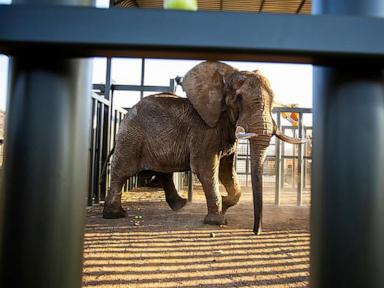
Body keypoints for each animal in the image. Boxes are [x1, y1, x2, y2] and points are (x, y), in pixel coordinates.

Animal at [101, 60, 304, 234]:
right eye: (238, 99)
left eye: (274, 101)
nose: (256, 231)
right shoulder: (205, 130)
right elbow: (206, 168)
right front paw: (217, 220)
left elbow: (226, 170)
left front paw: (225, 203)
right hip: (131, 137)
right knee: (122, 172)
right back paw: (115, 215)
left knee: (163, 171)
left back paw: (180, 205)